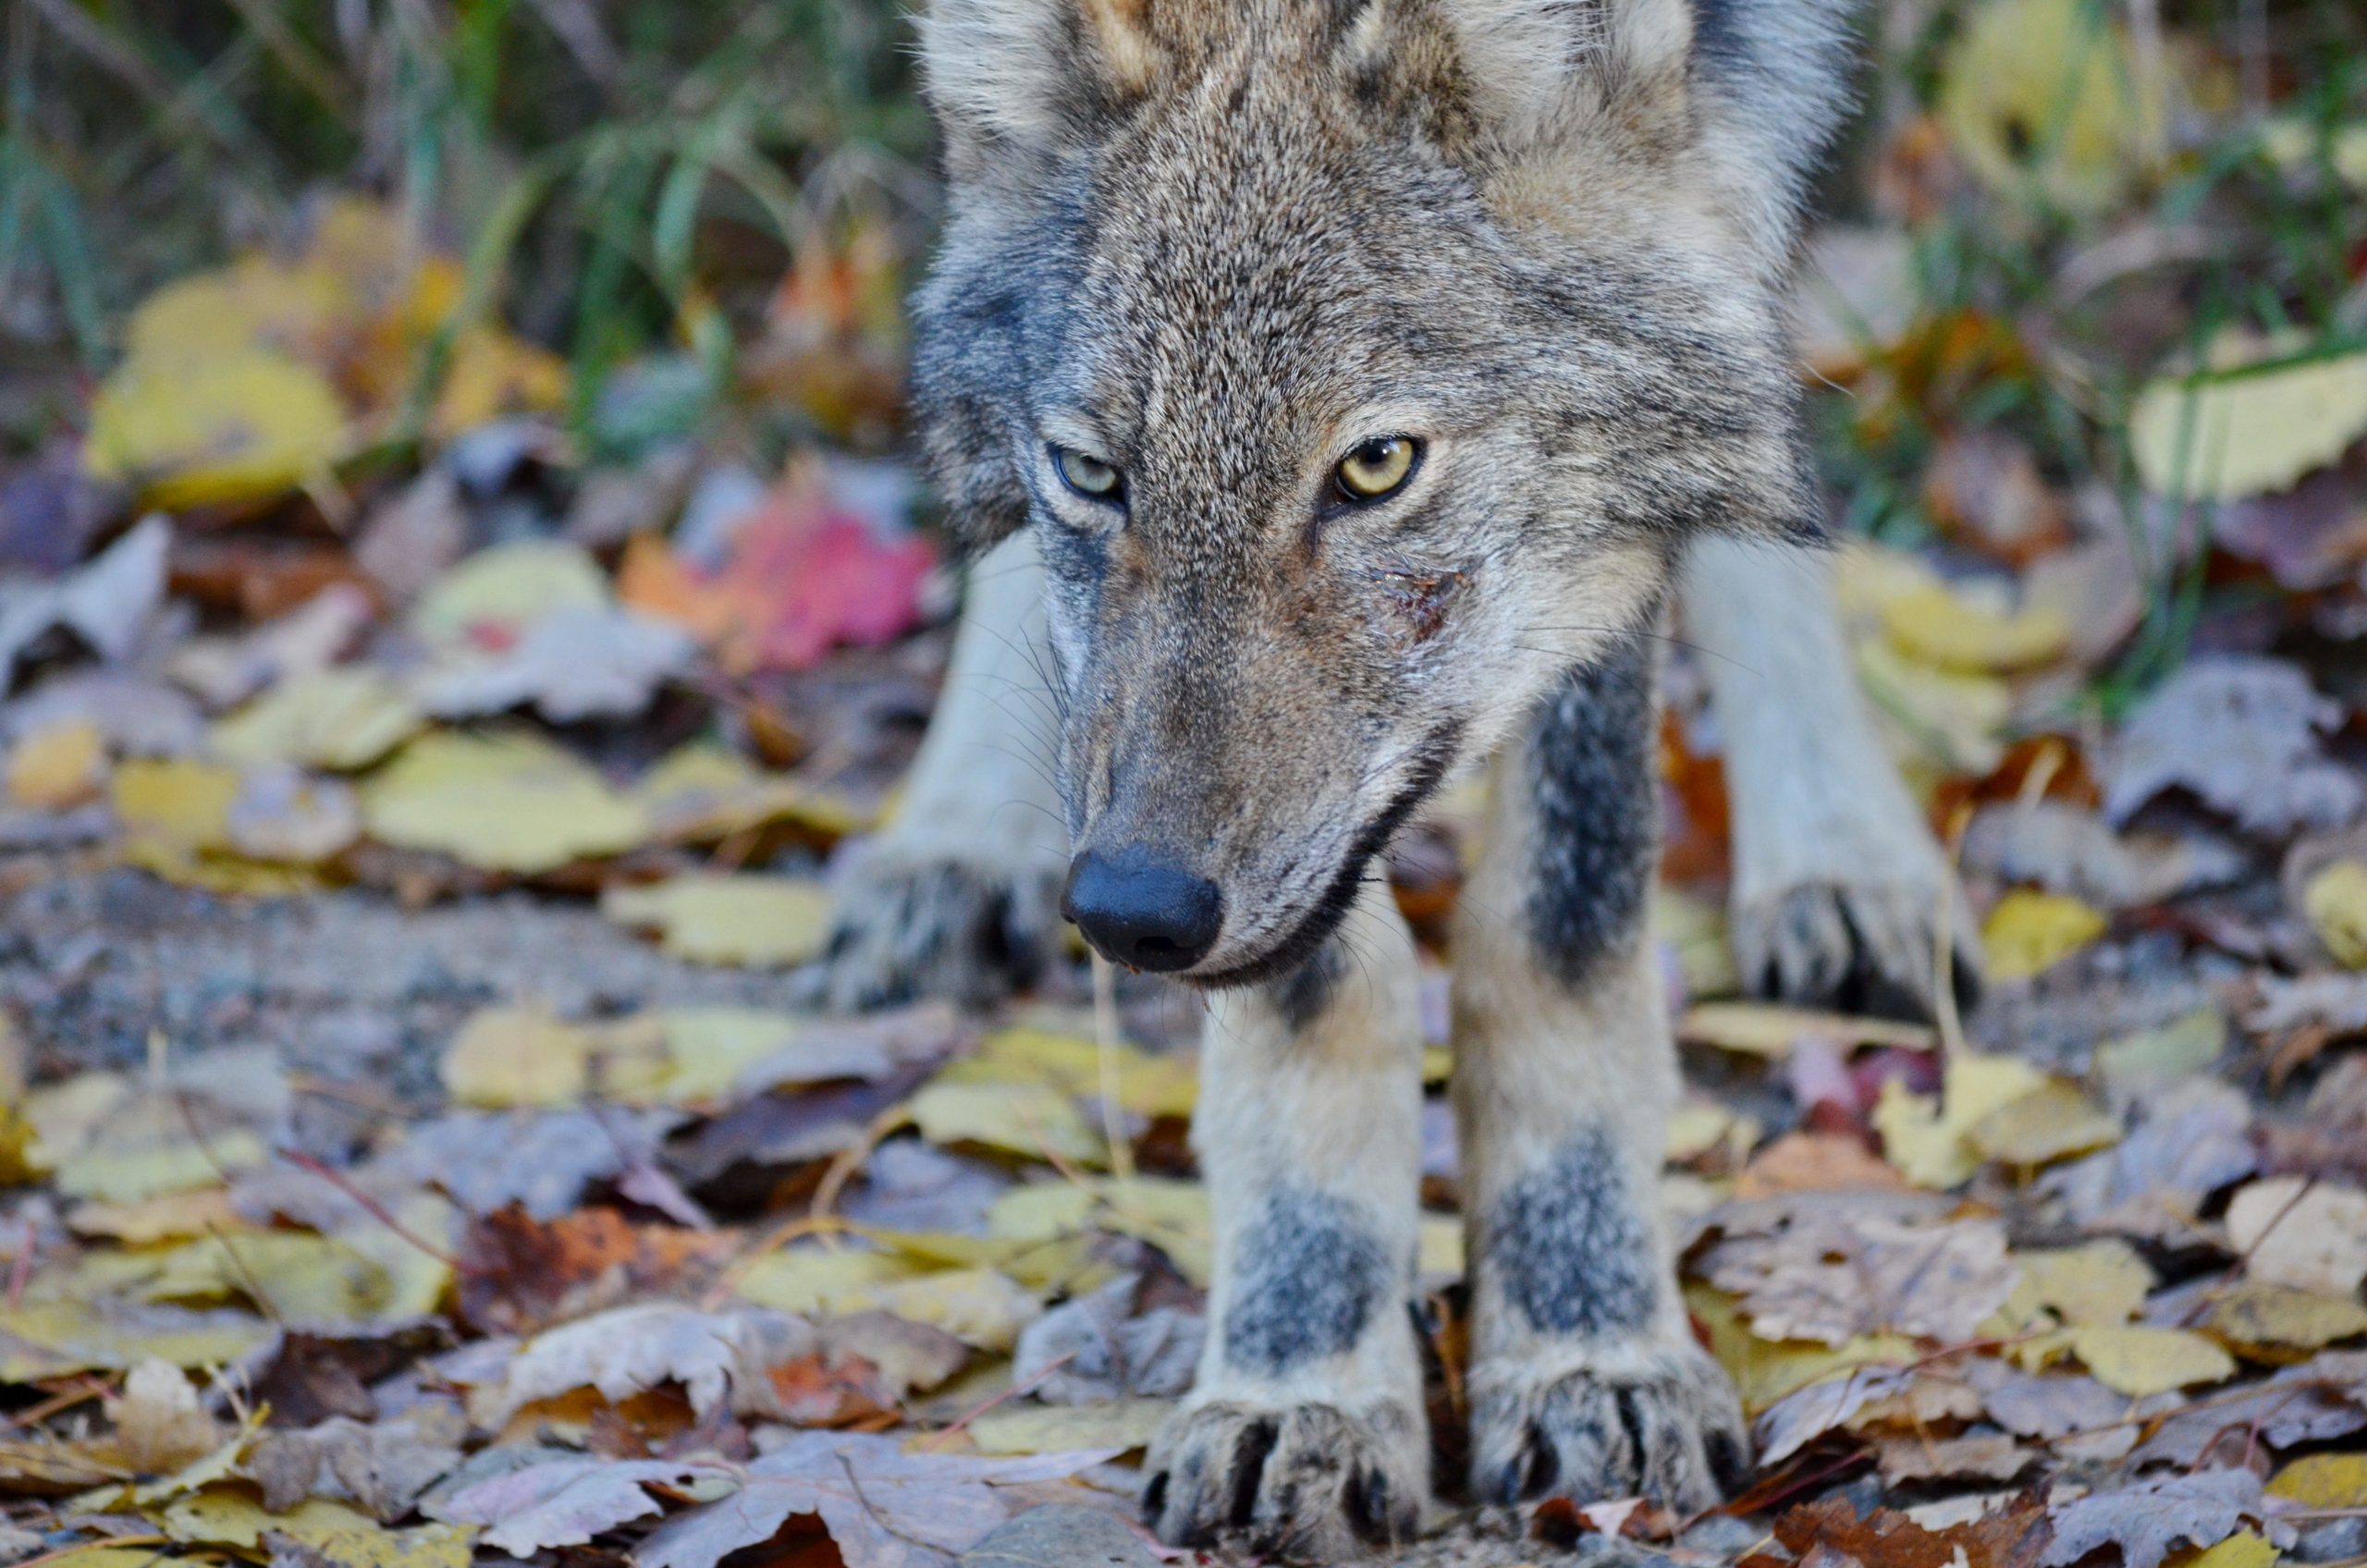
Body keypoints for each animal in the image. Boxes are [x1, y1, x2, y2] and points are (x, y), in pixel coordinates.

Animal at [806, 0, 1976, 1554]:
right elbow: (1313, 997)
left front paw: (1590, 1351)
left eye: (1375, 468)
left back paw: (1846, 864)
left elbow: (1560, 926)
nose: (1127, 910)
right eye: (1093, 475)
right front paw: (1302, 1386)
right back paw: (944, 856)